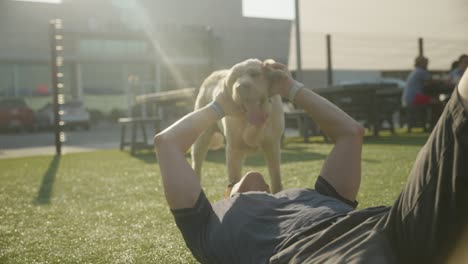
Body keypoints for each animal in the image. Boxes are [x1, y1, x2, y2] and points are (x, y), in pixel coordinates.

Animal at [190, 58, 286, 193]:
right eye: (234, 79)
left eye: (254, 74)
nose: (240, 87)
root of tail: (212, 74)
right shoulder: (233, 150)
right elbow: (234, 179)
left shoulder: (272, 146)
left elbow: (276, 178)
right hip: (202, 139)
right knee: (196, 163)